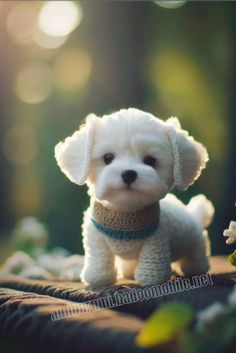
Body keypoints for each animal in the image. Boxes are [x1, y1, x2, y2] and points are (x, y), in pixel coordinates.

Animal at [54, 108, 214, 286]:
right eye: (108, 158)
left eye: (150, 160)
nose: (129, 174)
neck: (125, 216)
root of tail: (193, 214)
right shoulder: (96, 239)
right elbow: (99, 260)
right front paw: (99, 278)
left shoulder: (156, 242)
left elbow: (151, 271)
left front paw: (149, 279)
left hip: (195, 243)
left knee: (196, 256)